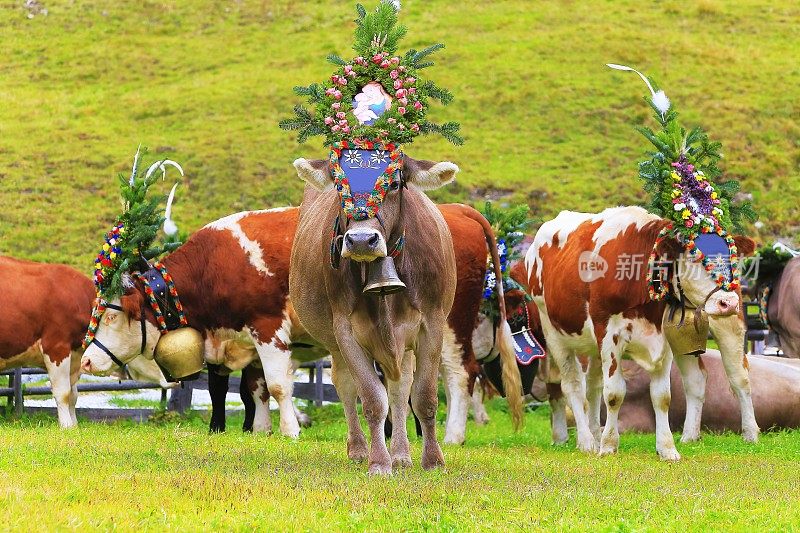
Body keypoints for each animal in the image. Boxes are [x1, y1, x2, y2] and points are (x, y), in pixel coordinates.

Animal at [288, 156, 462, 472]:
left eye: (393, 184)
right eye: (339, 185)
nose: (360, 240)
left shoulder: (432, 324)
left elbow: (423, 397)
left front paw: (432, 460)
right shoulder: (345, 330)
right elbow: (371, 399)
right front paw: (379, 462)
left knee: (400, 388)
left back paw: (402, 454)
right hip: (335, 343)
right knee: (345, 386)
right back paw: (358, 449)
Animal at [524, 206, 756, 460]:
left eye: (732, 258)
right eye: (695, 257)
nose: (729, 302)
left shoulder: (663, 339)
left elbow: (662, 396)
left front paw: (667, 448)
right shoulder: (609, 335)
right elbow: (614, 394)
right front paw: (609, 446)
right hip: (555, 335)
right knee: (573, 386)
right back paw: (587, 441)